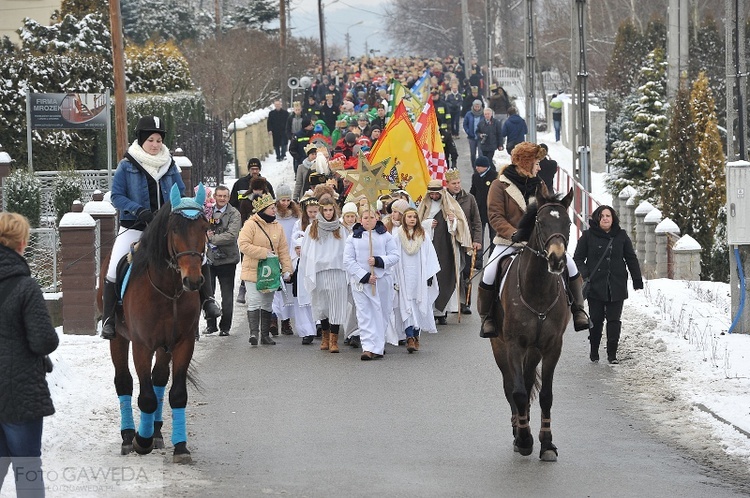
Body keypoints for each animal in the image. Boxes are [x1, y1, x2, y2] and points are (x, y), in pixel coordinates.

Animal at [97, 183, 209, 462]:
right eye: (175, 229)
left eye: (205, 227)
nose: (193, 280)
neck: (168, 288)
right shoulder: (142, 345)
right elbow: (145, 396)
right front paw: (141, 441)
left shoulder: (182, 343)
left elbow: (176, 394)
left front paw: (180, 446)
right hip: (119, 338)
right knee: (124, 381)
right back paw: (129, 436)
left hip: (164, 345)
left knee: (159, 379)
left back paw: (156, 432)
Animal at [494, 188, 576, 462]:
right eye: (540, 222)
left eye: (568, 223)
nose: (557, 260)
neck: (537, 290)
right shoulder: (514, 345)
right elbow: (518, 392)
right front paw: (524, 439)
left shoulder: (552, 346)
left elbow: (546, 395)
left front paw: (547, 443)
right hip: (500, 347)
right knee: (511, 386)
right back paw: (518, 430)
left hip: (534, 350)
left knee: (529, 381)